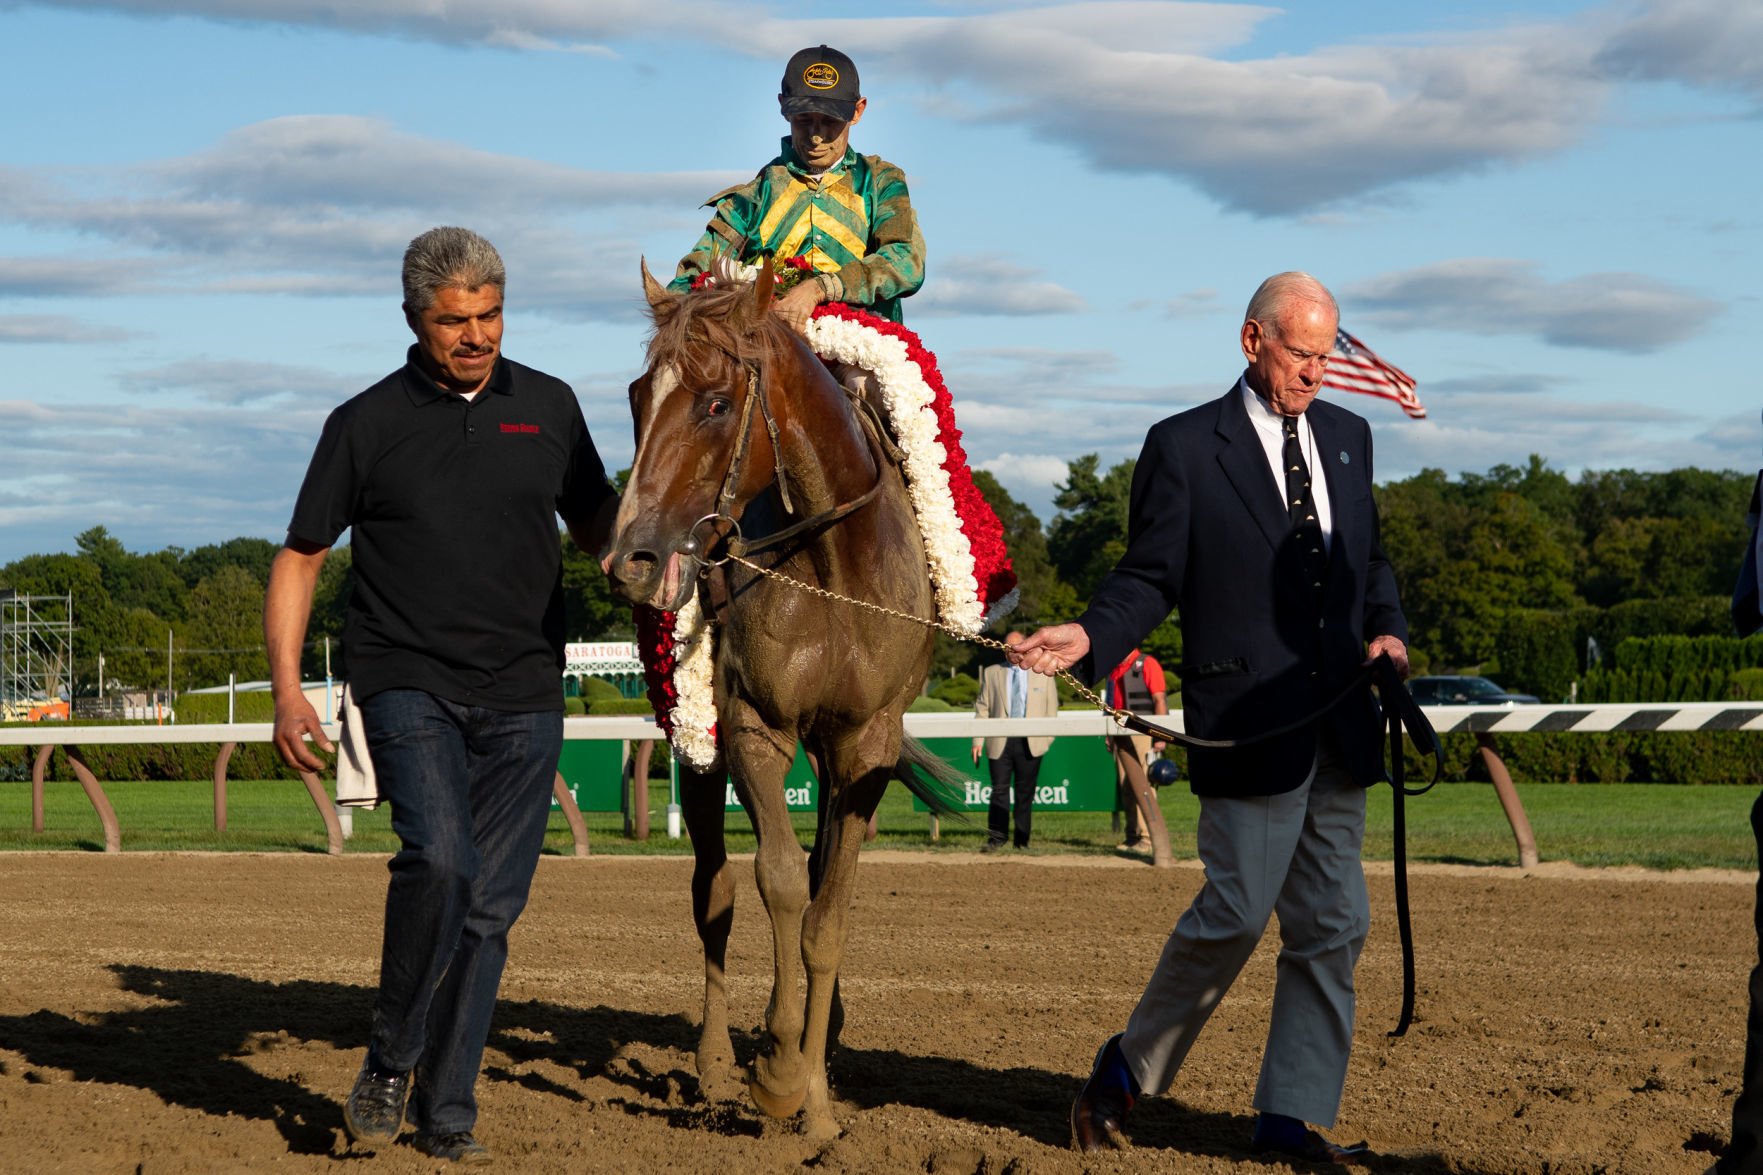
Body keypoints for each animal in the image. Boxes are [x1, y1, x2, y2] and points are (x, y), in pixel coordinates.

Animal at [609, 255, 966, 1136]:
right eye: (636, 396)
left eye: (714, 401)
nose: (629, 558)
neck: (833, 563)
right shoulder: (753, 729)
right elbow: (776, 879)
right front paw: (773, 1065)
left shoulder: (865, 743)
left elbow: (826, 911)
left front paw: (815, 1091)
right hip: (697, 744)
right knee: (713, 889)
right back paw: (711, 1062)